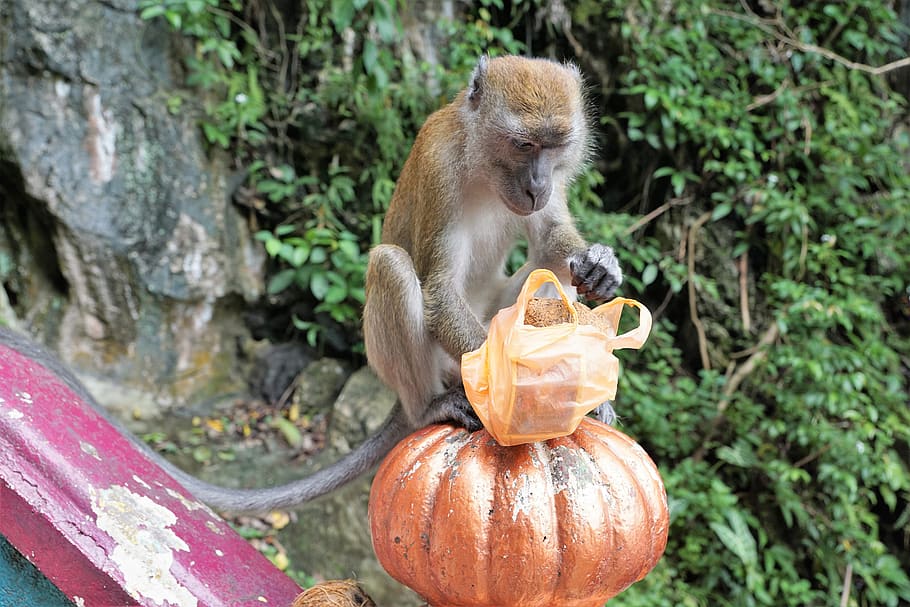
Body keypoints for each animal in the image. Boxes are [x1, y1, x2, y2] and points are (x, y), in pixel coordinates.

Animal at [0, 55, 622, 513]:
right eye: (523, 144)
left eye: (554, 146)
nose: (538, 183)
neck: (483, 165)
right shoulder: (441, 169)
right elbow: (439, 288)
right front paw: (541, 394)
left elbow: (552, 248)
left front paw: (598, 265)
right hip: (432, 365)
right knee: (391, 266)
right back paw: (432, 407)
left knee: (543, 281)